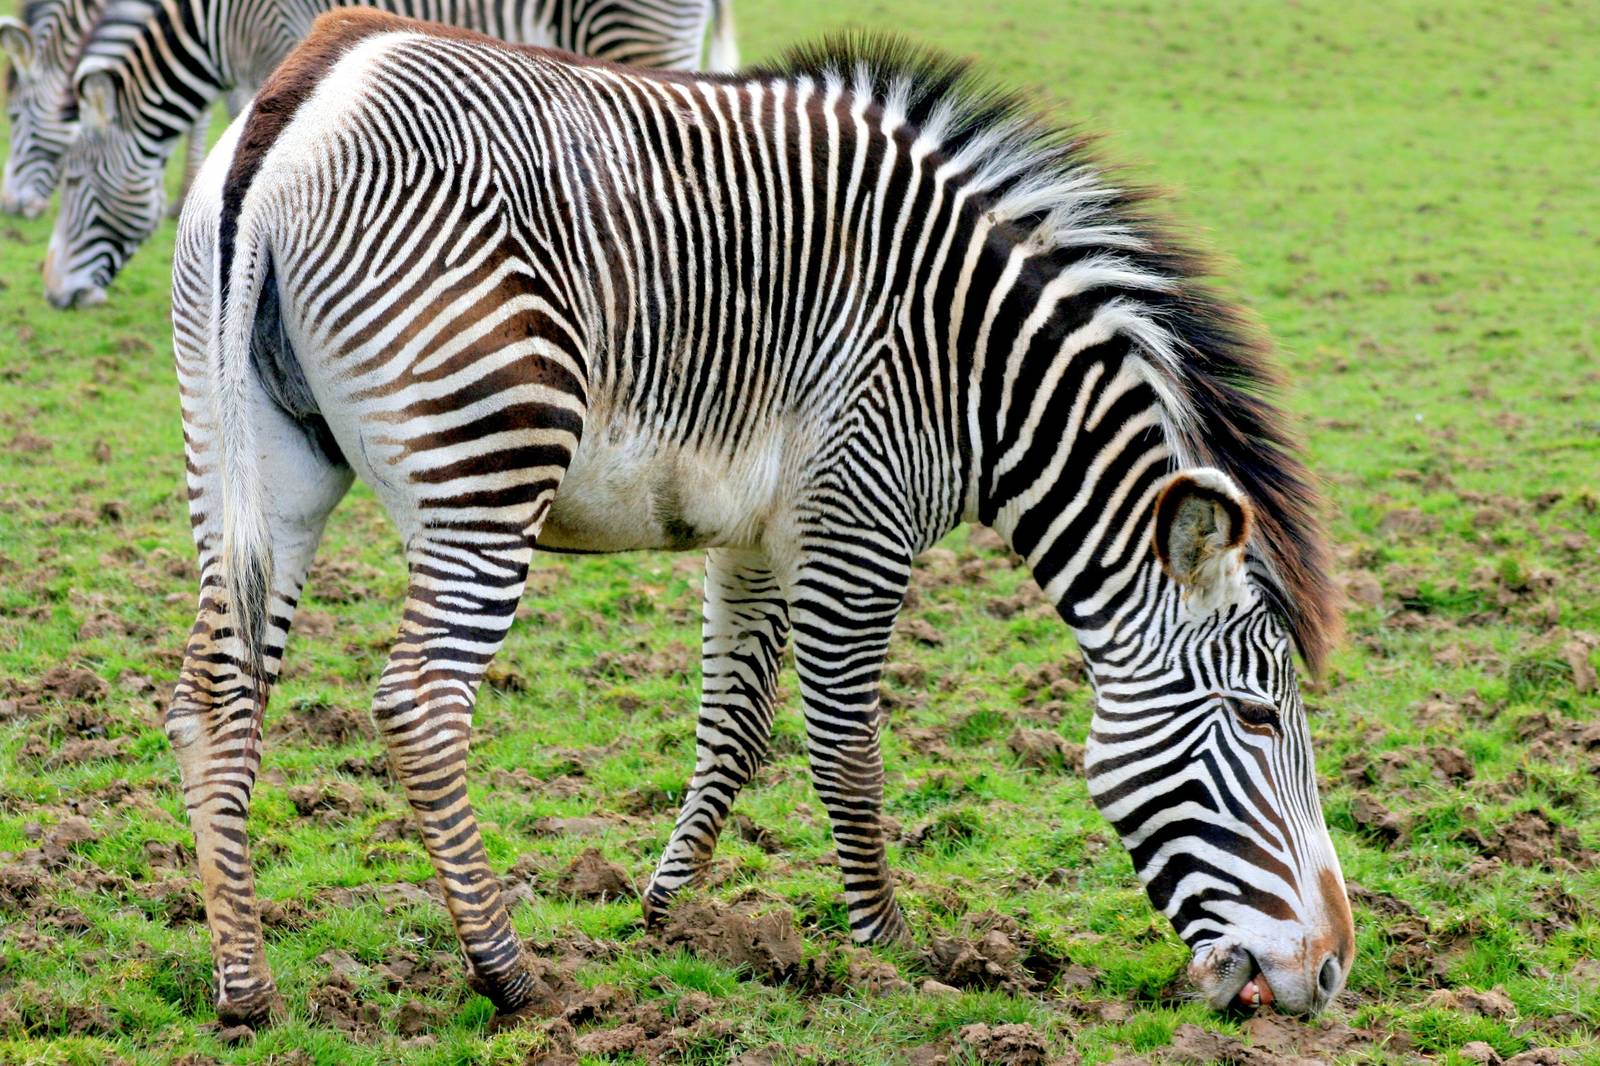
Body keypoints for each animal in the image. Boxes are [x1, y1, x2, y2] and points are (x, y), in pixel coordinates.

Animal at [170, 10, 1354, 1028]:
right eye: (1259, 715)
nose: (1335, 971)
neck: (972, 364)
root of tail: (295, 104)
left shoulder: (752, 534)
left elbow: (735, 727)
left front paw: (667, 914)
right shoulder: (858, 522)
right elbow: (843, 741)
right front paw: (892, 949)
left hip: (257, 461)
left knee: (213, 697)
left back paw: (245, 988)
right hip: (485, 471)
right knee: (418, 703)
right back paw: (509, 974)